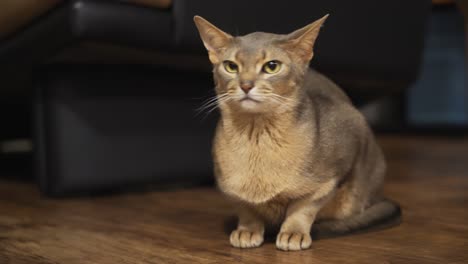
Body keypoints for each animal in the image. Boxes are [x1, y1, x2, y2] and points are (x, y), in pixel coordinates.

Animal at [193, 14, 398, 252]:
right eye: (231, 66)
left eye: (272, 66)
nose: (246, 85)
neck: (258, 138)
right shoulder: (228, 187)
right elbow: (245, 207)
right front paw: (248, 230)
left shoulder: (330, 176)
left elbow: (303, 207)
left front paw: (293, 233)